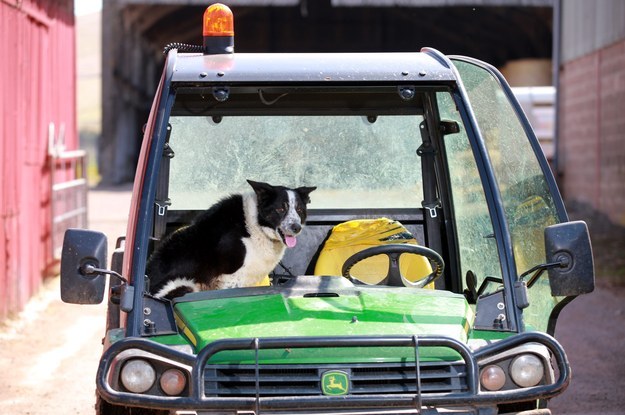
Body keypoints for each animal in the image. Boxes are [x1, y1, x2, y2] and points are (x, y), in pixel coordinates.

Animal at [147, 180, 316, 300]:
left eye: (299, 210)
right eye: (280, 209)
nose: (296, 228)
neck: (256, 224)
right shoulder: (230, 277)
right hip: (185, 286)